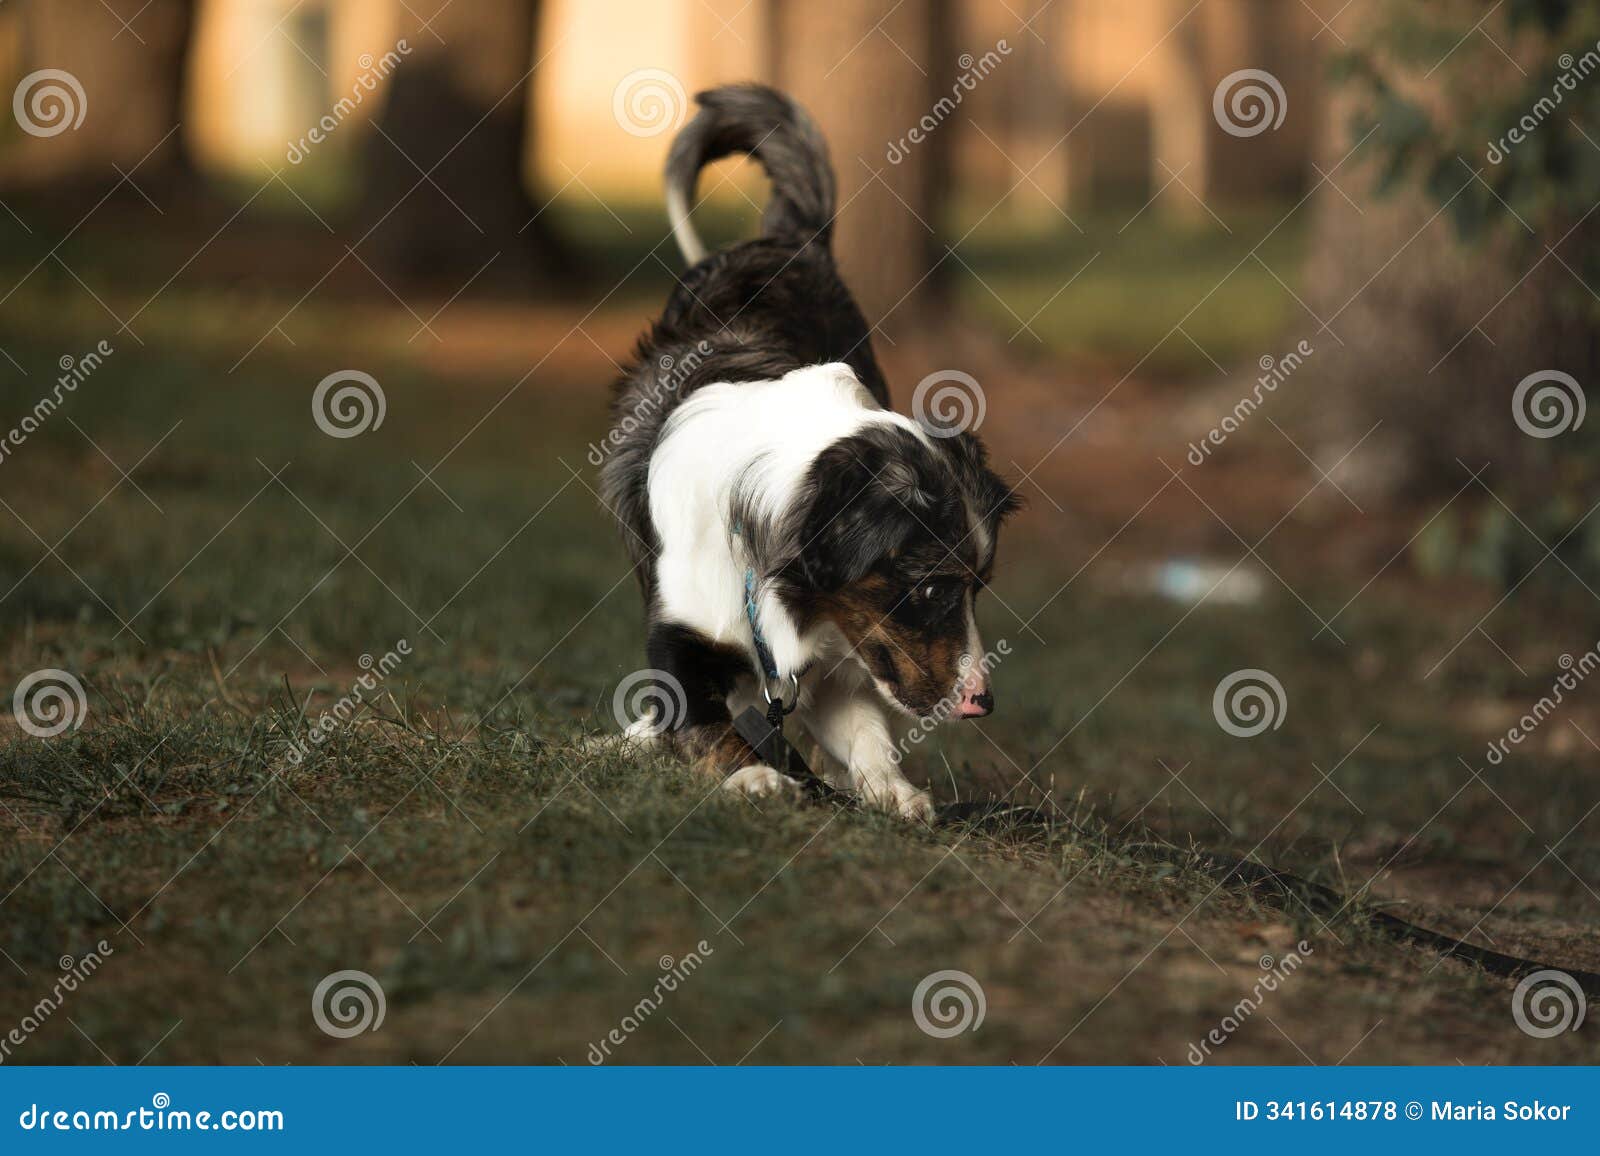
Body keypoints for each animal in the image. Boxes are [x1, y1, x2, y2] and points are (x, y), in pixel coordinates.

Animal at [601, 83, 1011, 819]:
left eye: (978, 587)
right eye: (931, 586)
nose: (981, 702)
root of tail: (791, 242)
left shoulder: (843, 648)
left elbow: (862, 725)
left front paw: (888, 789)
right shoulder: (680, 630)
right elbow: (703, 720)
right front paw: (751, 775)